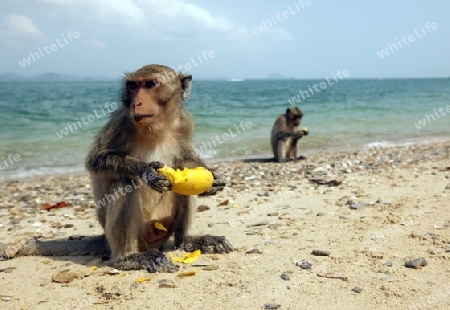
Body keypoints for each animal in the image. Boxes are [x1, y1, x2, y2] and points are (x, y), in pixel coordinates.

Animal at [0, 65, 232, 272]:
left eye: (151, 84)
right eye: (133, 86)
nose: (137, 102)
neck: (156, 126)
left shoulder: (184, 122)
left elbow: (185, 159)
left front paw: (212, 180)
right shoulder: (120, 121)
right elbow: (96, 161)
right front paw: (146, 171)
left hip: (163, 223)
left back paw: (186, 241)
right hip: (136, 232)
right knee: (124, 182)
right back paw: (127, 258)